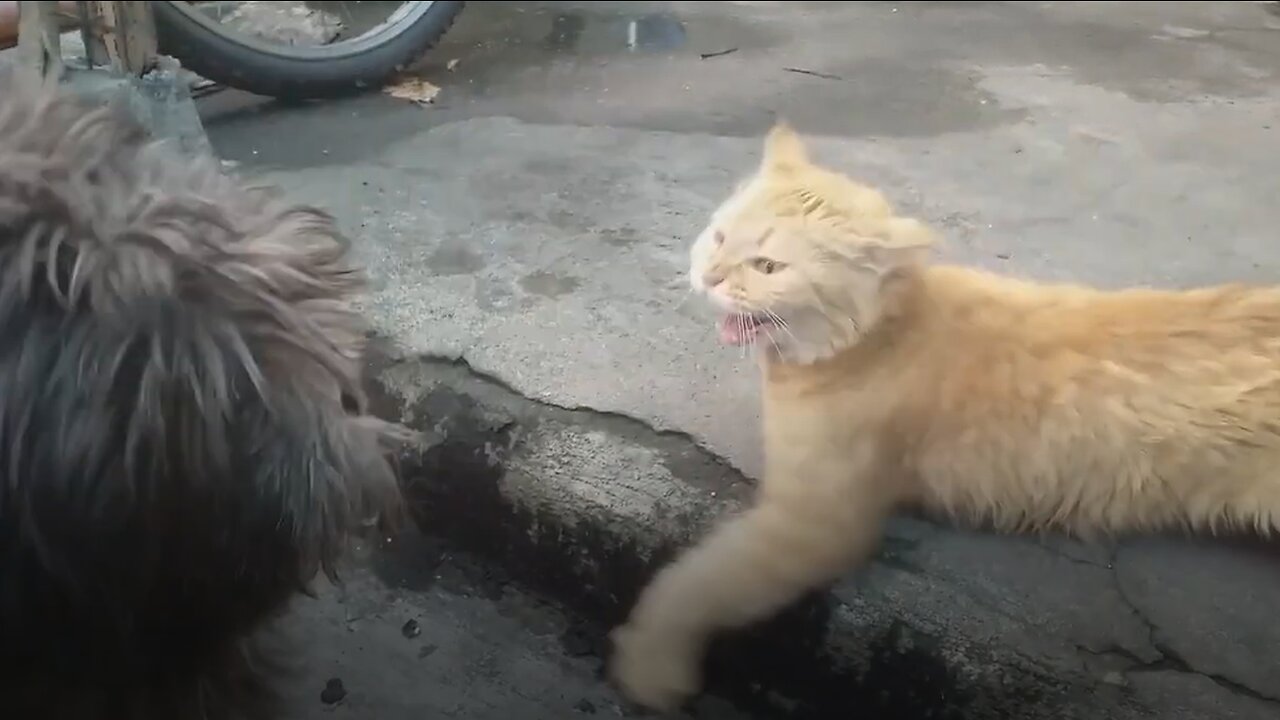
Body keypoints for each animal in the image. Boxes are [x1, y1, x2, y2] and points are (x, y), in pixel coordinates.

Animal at [604, 121, 1280, 707]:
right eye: (719, 238)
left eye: (768, 267)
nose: (708, 275)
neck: (876, 334)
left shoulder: (815, 524)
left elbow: (693, 581)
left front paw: (652, 662)